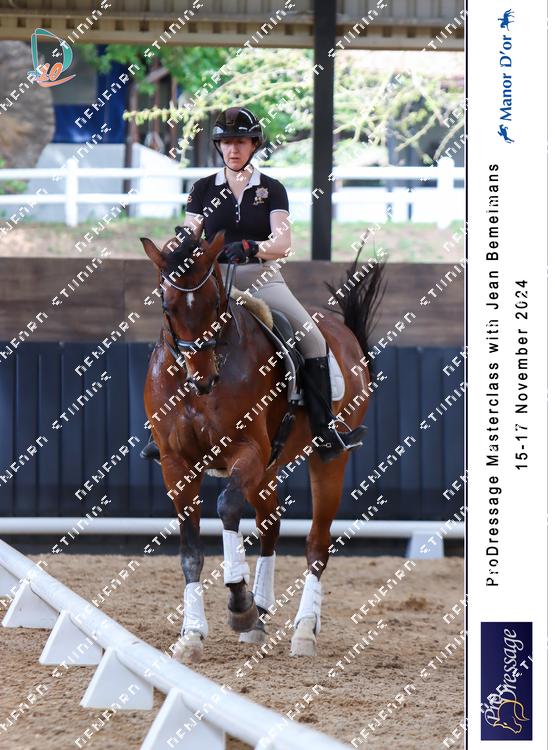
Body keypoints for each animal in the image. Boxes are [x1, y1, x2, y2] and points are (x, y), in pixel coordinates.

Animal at [140, 229, 384, 662]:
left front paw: (238, 602)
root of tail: (344, 334)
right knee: (271, 524)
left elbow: (226, 508)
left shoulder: (246, 451)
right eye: (168, 305)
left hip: (324, 461)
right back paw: (261, 612)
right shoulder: (176, 464)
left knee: (317, 544)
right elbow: (190, 548)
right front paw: (192, 635)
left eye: (215, 303)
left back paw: (303, 630)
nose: (202, 380)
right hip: (268, 469)